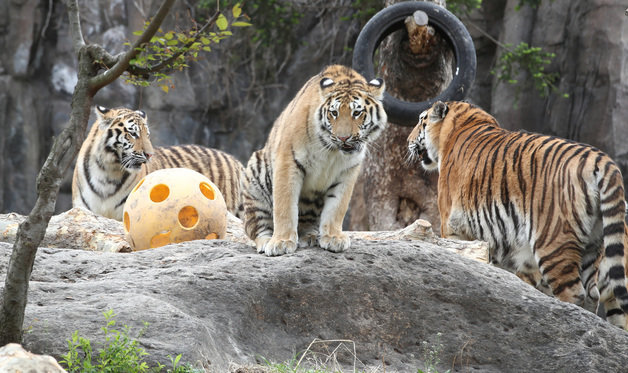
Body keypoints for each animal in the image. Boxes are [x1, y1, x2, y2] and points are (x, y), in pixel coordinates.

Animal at [71, 104, 243, 219]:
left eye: (147, 135)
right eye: (133, 133)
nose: (149, 155)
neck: (108, 171)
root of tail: (235, 160)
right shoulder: (84, 209)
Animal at [244, 64, 388, 256]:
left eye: (357, 113)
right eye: (334, 113)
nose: (343, 138)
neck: (332, 150)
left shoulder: (348, 171)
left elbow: (337, 207)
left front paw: (333, 238)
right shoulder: (288, 162)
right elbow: (284, 206)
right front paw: (281, 242)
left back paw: (310, 236)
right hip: (256, 176)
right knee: (256, 228)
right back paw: (268, 241)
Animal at [408, 100, 628, 326]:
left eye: (421, 120)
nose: (408, 140)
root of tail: (601, 159)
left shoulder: (451, 227)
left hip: (553, 242)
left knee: (573, 293)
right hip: (592, 245)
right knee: (592, 295)